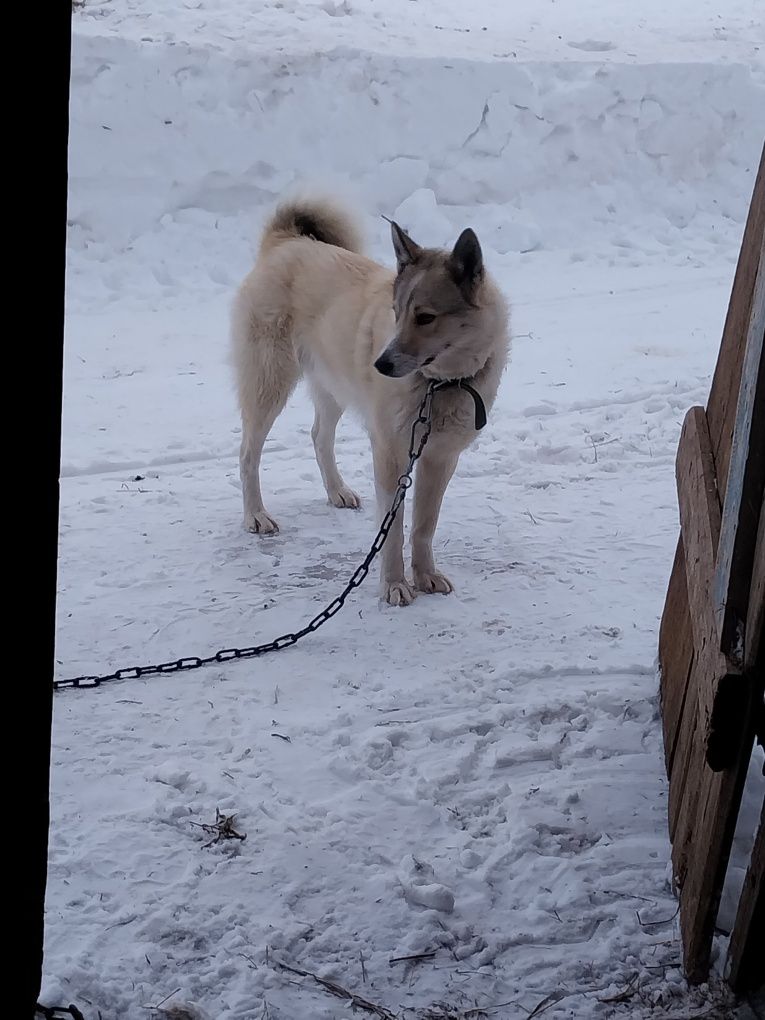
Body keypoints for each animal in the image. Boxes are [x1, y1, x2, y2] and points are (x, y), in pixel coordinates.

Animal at [230, 194, 512, 599]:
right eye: (397, 313)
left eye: (425, 317)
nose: (380, 364)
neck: (438, 385)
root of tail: (285, 242)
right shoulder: (391, 454)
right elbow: (392, 532)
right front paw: (394, 585)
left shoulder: (439, 458)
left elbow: (424, 526)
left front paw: (425, 575)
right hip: (269, 383)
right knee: (248, 453)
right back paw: (255, 514)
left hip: (333, 387)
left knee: (319, 436)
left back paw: (337, 491)